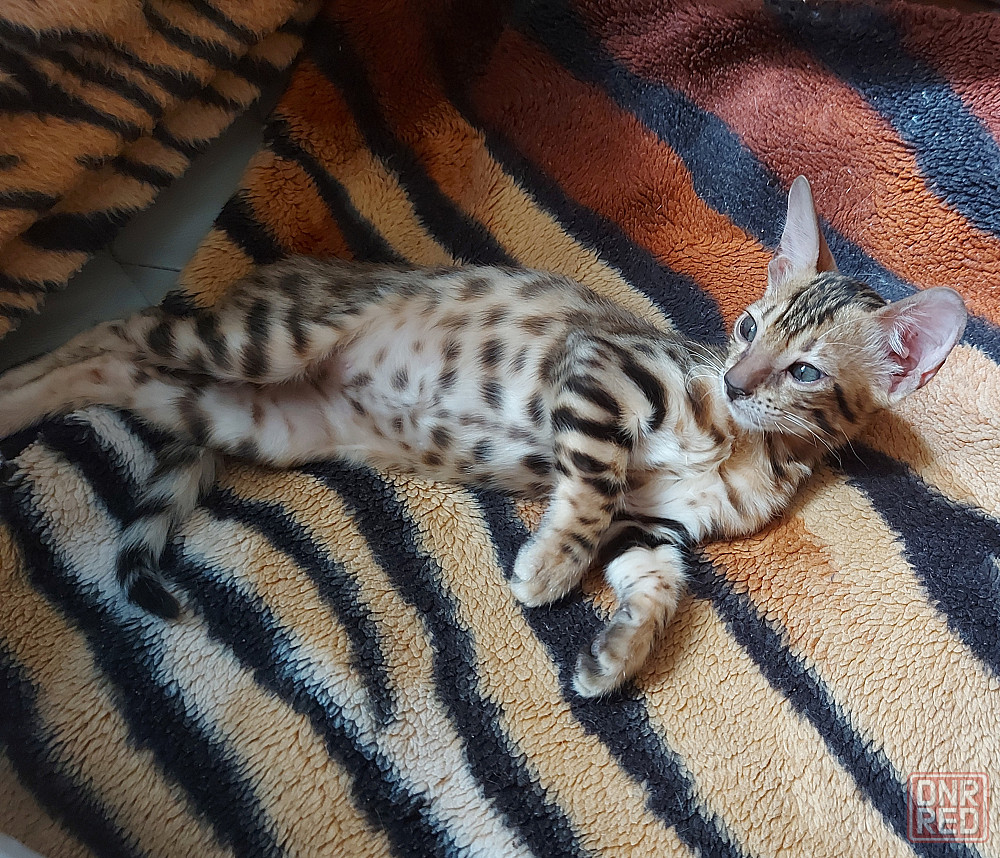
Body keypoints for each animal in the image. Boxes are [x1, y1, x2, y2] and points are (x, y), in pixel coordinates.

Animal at [0, 176, 967, 697]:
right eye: (745, 326)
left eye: (803, 371)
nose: (734, 380)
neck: (744, 452)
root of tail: (271, 274)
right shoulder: (604, 371)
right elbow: (593, 485)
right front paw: (550, 567)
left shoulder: (654, 527)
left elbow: (660, 581)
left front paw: (619, 652)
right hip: (259, 342)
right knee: (112, 332)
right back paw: (12, 388)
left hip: (248, 413)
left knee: (115, 368)